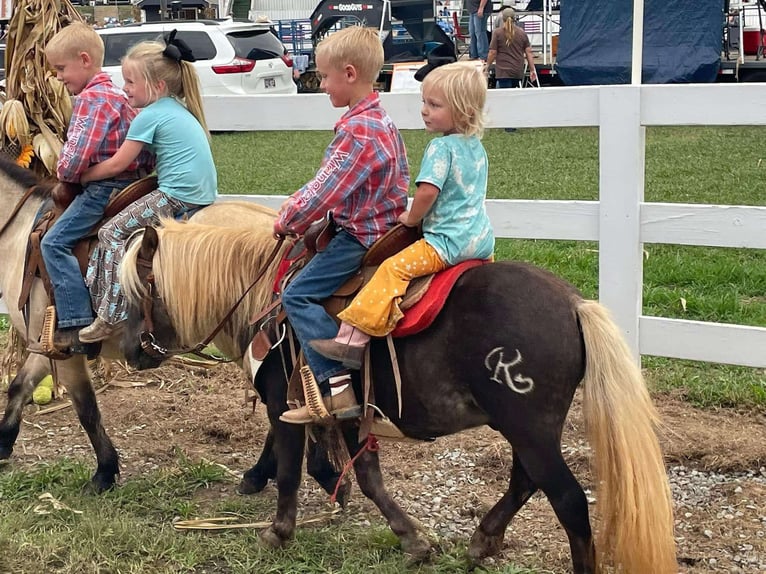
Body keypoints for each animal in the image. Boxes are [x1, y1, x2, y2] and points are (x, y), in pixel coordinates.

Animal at [0, 159, 344, 504]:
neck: (20, 234)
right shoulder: (44, 346)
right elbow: (19, 387)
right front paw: (4, 445)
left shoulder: (66, 350)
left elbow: (87, 409)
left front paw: (104, 472)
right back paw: (264, 473)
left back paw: (266, 473)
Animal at [118, 218, 680, 572]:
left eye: (137, 290)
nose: (129, 351)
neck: (264, 297)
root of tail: (573, 303)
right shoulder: (349, 414)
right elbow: (368, 478)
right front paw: (414, 541)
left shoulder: (284, 407)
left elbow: (288, 472)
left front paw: (278, 532)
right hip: (531, 429)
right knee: (526, 481)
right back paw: (483, 540)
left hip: (529, 426)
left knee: (566, 500)